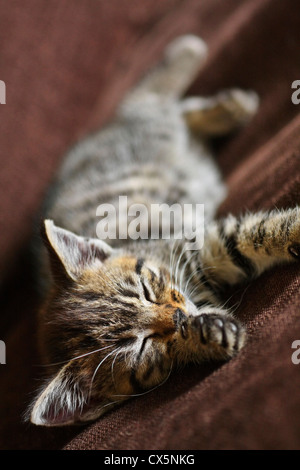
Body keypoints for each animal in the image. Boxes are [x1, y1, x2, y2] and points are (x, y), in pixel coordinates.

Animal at [28, 35, 300, 426]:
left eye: (144, 288)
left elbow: (257, 233)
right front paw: (206, 336)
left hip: (149, 129)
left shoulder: (196, 243)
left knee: (157, 105)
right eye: (141, 345)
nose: (178, 316)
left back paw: (226, 102)